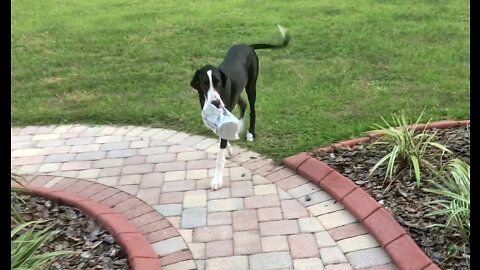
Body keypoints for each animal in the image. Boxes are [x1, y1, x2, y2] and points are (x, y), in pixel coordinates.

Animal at [190, 24, 288, 190]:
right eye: (204, 83)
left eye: (217, 82)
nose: (216, 103)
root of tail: (248, 45)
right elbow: (221, 137)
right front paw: (228, 147)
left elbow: (219, 156)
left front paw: (217, 180)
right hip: (238, 90)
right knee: (243, 104)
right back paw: (240, 126)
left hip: (251, 85)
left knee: (252, 109)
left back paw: (250, 132)